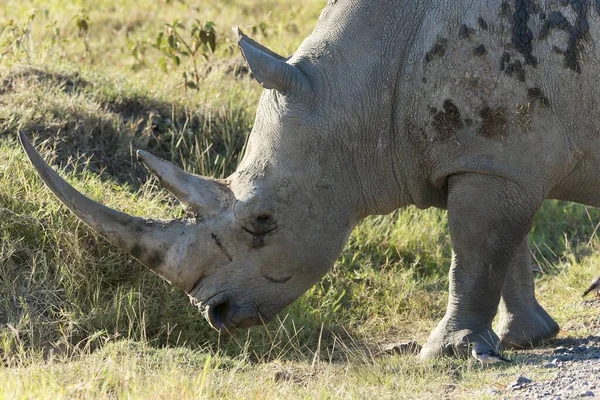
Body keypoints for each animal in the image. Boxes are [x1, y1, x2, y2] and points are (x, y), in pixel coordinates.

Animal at [21, 0, 600, 358]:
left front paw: (446, 353)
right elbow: (506, 247)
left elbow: (475, 253)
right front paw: (524, 339)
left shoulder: (491, 153)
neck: (361, 88)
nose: (215, 313)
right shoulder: (491, 155)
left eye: (262, 221)